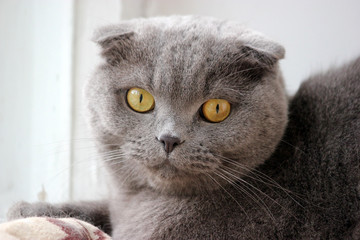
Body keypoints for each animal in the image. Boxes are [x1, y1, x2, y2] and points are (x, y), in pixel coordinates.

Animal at [7, 15, 358, 239]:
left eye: (217, 108)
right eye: (139, 98)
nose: (168, 139)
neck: (140, 206)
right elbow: (97, 208)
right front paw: (28, 211)